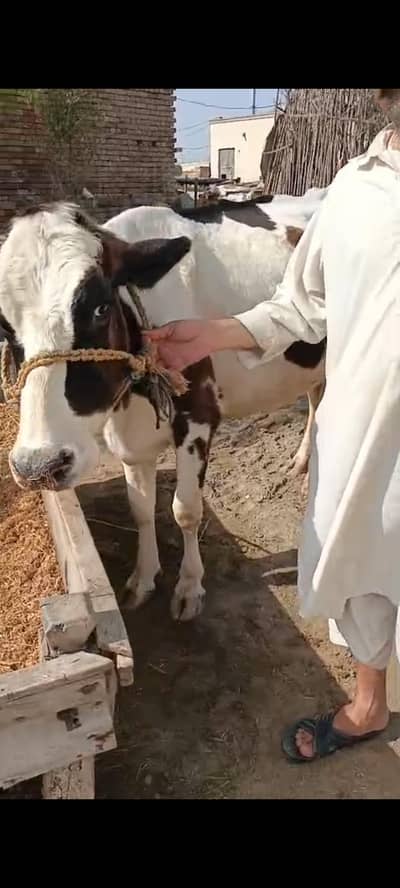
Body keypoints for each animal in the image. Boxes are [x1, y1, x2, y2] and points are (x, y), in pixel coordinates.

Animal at [0, 194, 327, 622]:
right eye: (4, 326)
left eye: (100, 308)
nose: (39, 466)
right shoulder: (131, 441)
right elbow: (140, 508)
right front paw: (143, 579)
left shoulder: (199, 417)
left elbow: (185, 509)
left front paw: (189, 587)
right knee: (316, 398)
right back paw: (304, 461)